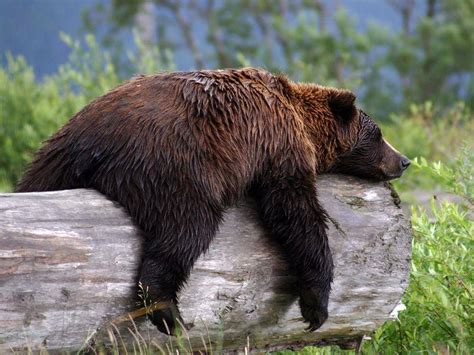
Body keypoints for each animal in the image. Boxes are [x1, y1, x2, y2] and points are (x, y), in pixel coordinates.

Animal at [16, 68, 410, 336]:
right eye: (378, 134)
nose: (404, 160)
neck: (301, 120)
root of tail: (92, 143)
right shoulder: (279, 145)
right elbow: (294, 212)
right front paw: (316, 307)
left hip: (52, 160)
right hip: (174, 166)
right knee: (186, 229)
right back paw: (169, 313)